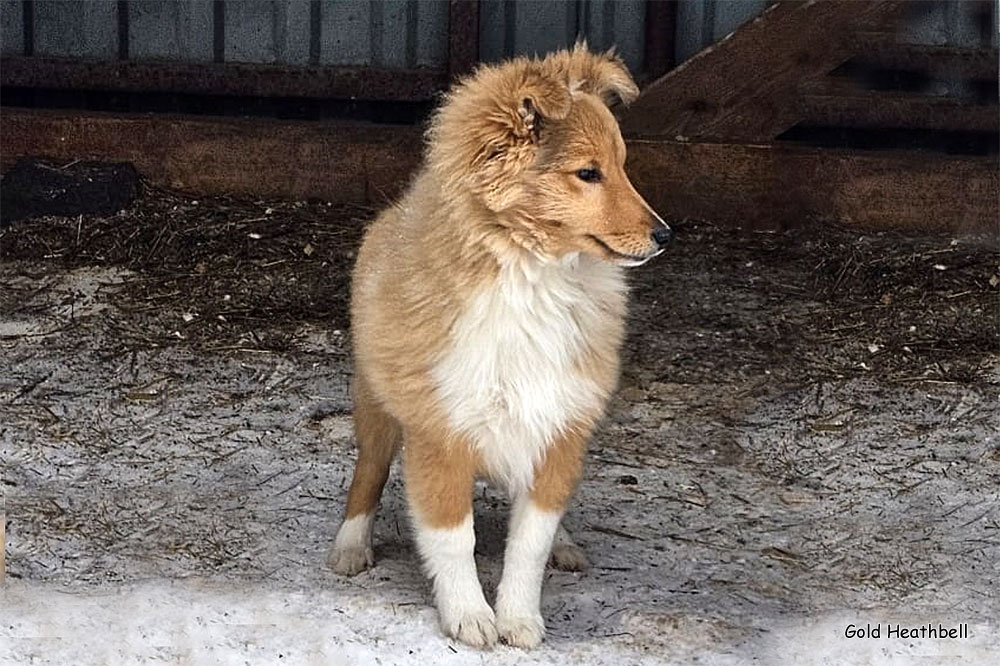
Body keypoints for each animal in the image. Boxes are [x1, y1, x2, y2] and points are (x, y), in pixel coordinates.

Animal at [330, 44, 672, 644]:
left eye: (623, 165)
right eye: (588, 173)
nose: (664, 236)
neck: (533, 277)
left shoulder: (560, 425)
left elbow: (528, 543)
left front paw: (519, 618)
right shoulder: (440, 431)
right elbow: (453, 538)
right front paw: (469, 616)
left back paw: (565, 543)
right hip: (377, 404)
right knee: (368, 473)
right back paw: (351, 546)